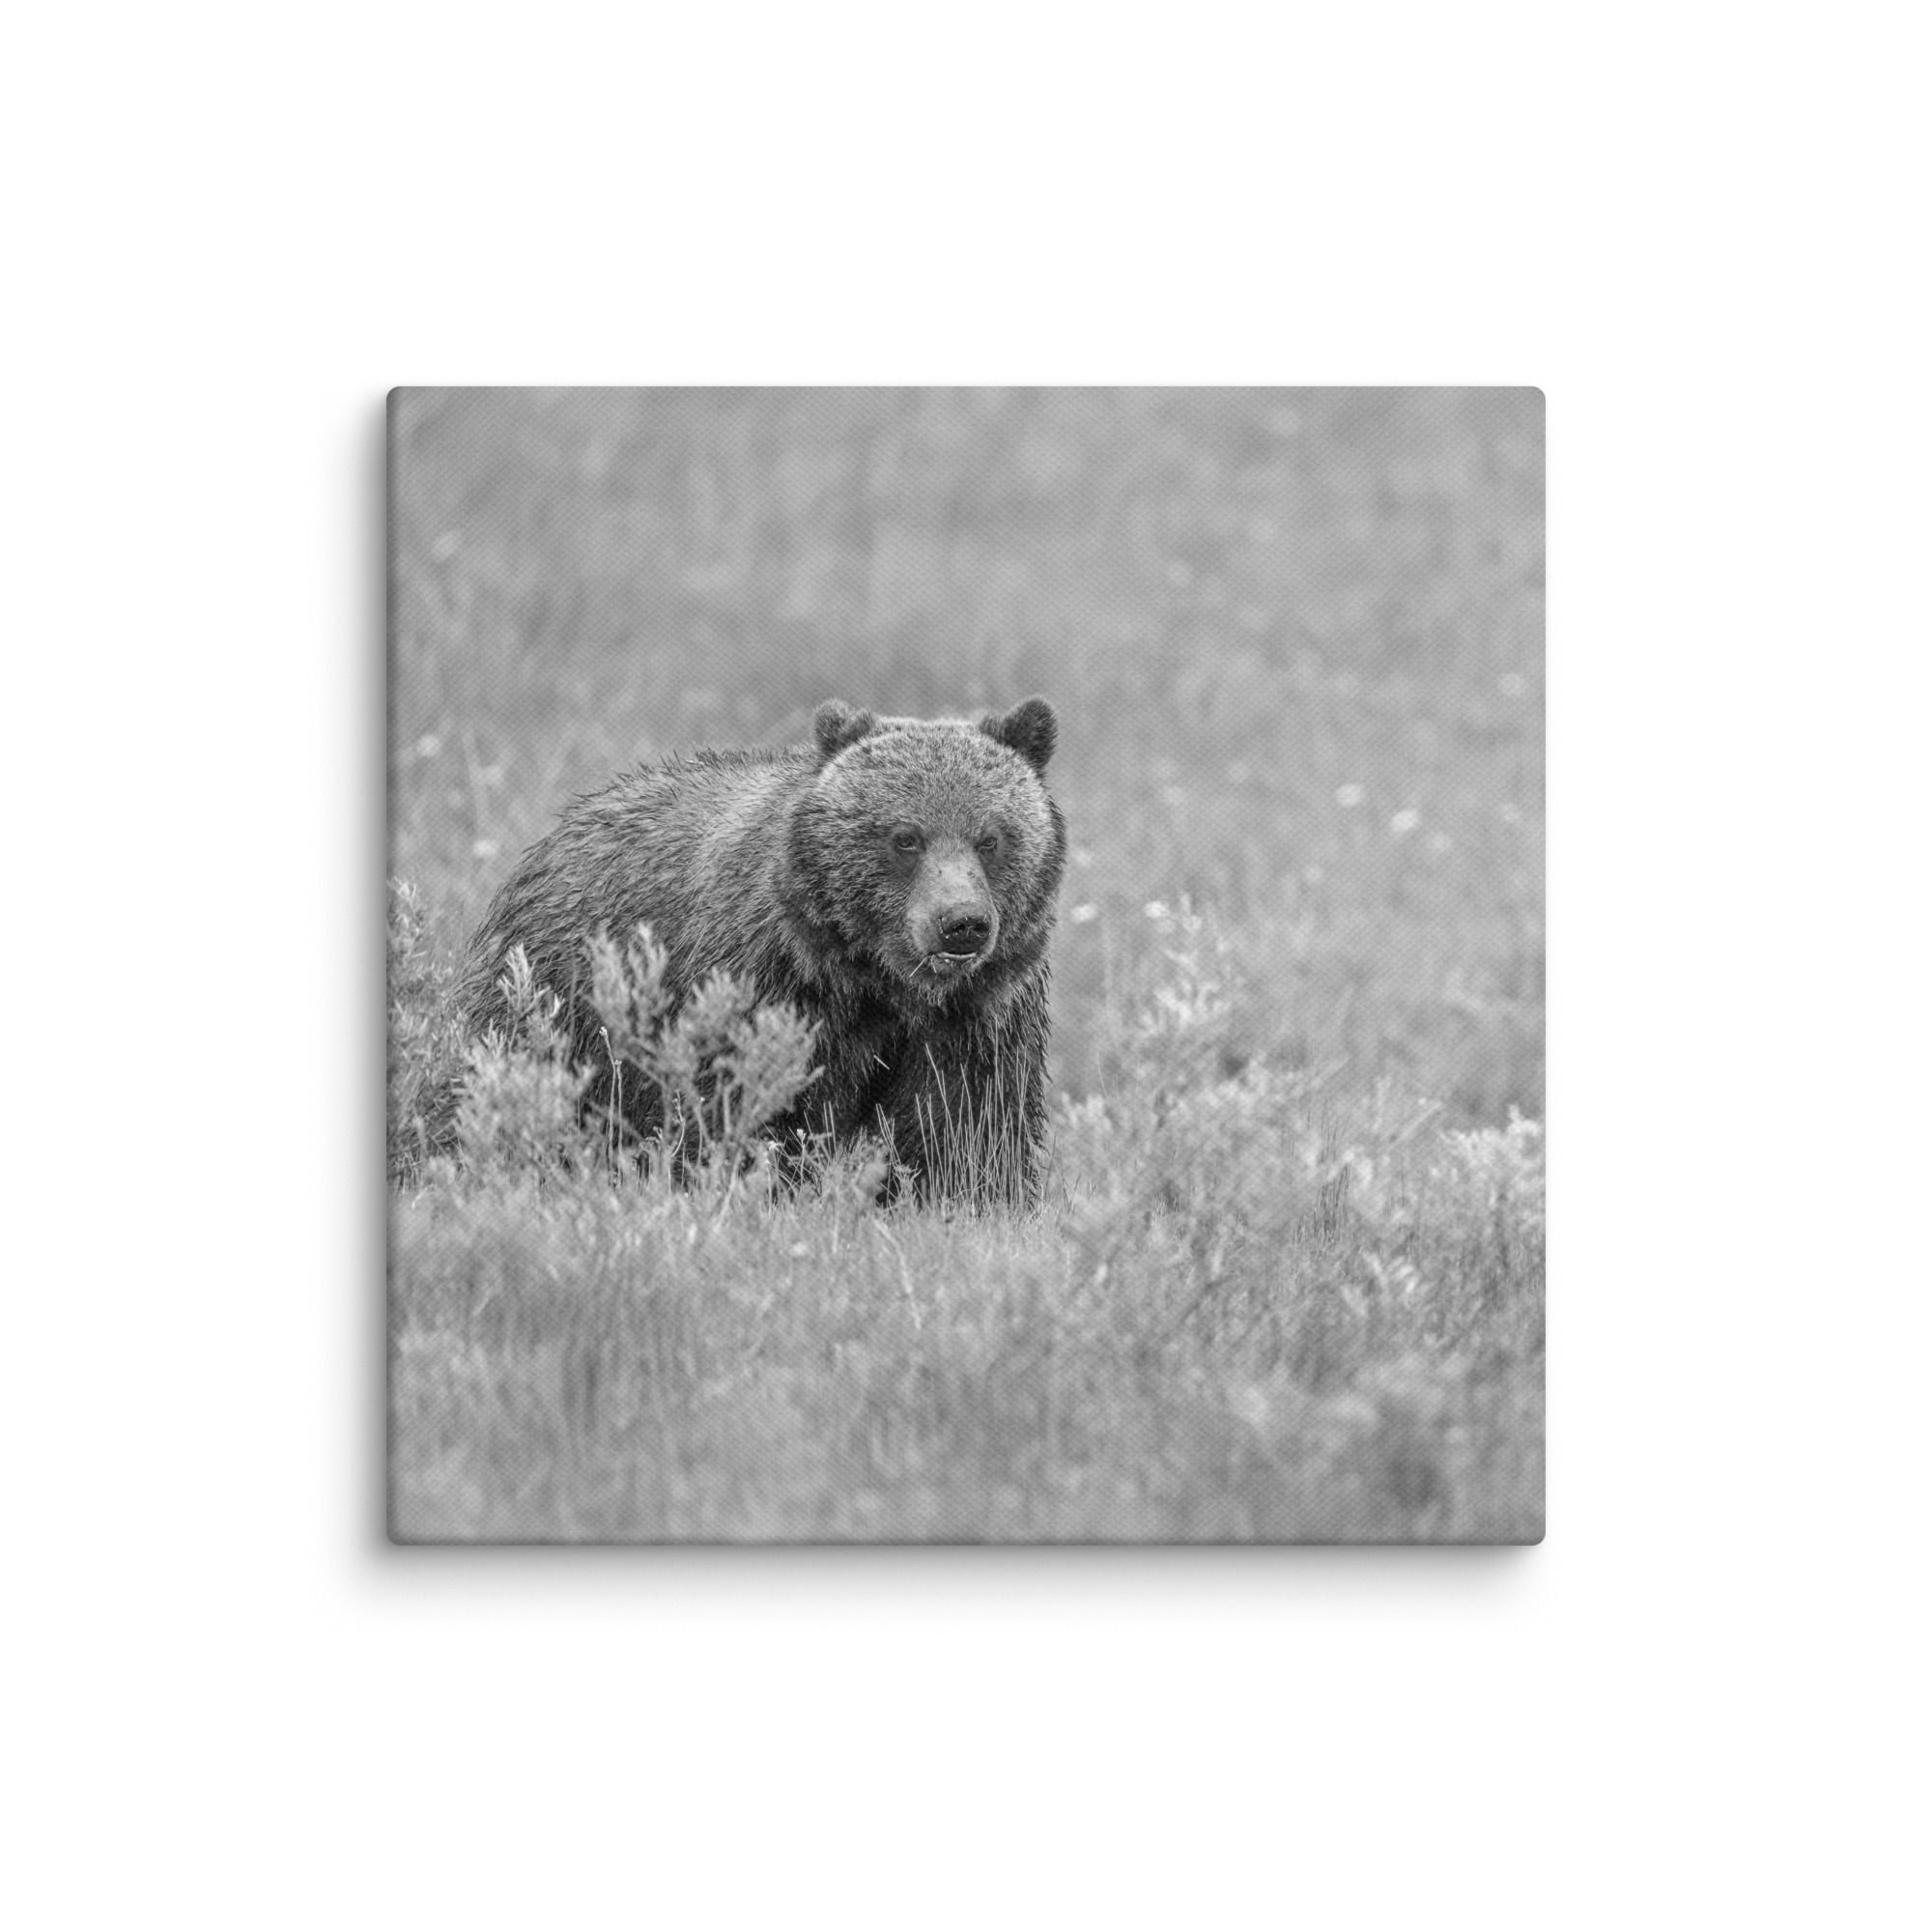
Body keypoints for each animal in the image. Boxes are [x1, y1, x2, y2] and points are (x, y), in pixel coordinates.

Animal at [457, 697, 1066, 1204]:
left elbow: (967, 1127)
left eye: (990, 838)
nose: (961, 924)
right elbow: (747, 1107)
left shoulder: (978, 1015)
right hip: (559, 1000)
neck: (877, 981)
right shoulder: (766, 986)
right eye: (905, 837)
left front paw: (969, 1202)